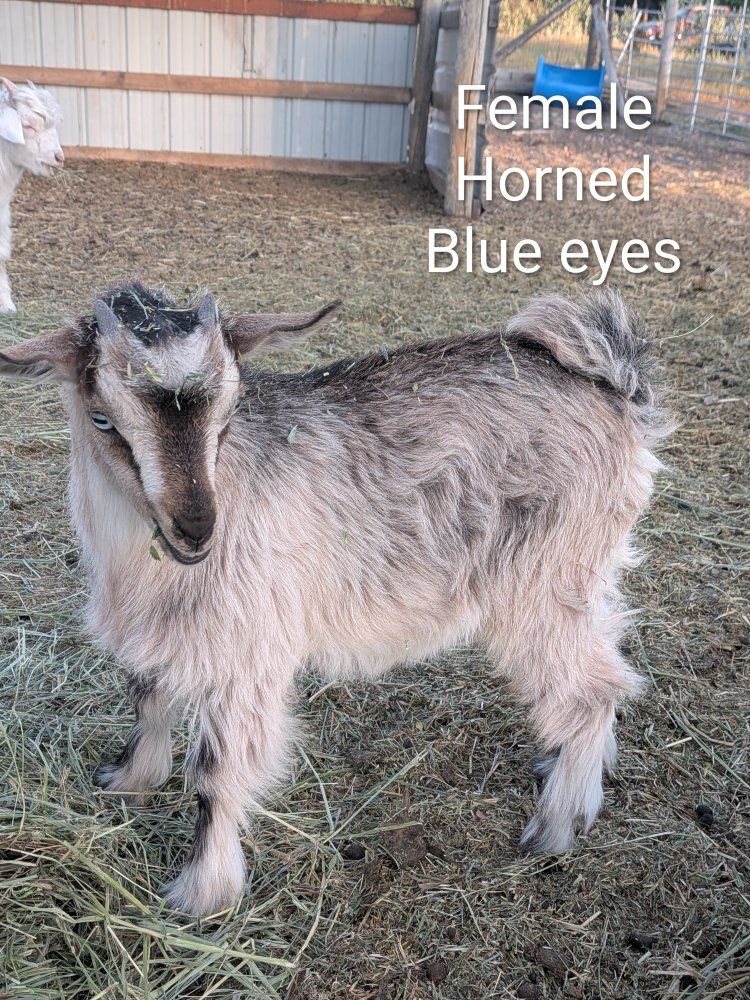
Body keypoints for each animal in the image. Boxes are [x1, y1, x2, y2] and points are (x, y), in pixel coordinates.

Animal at [0, 284, 672, 916]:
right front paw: (128, 781)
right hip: (583, 573)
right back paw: (573, 773)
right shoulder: (163, 632)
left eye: (230, 411)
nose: (196, 529)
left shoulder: (248, 648)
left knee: (592, 689)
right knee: (610, 661)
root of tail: (616, 387)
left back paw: (554, 828)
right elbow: (149, 698)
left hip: (539, 580)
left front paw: (202, 894)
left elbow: (216, 773)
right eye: (102, 419)